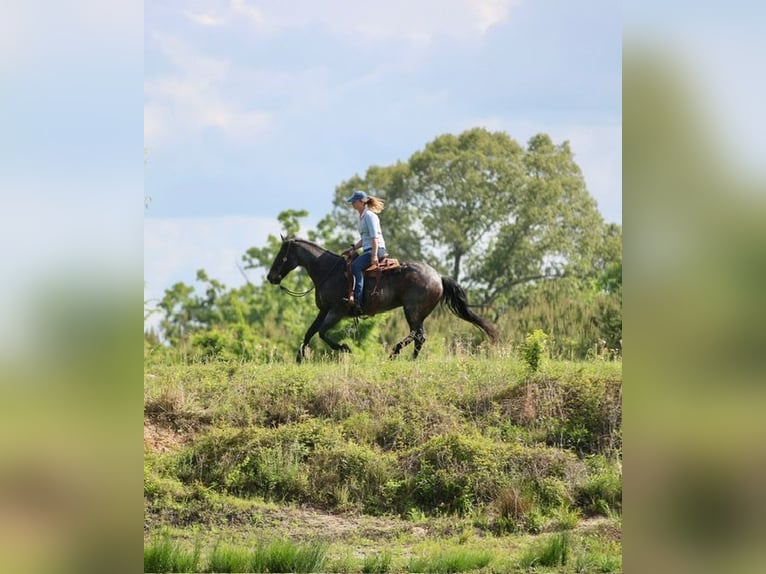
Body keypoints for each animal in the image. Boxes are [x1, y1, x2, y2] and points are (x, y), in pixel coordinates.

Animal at [266, 236, 498, 362]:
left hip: (412, 310)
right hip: (416, 313)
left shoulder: (336, 312)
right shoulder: (323, 311)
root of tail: (438, 276)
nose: (271, 277)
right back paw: (408, 359)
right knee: (419, 336)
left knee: (418, 335)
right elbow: (309, 333)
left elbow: (322, 333)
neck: (328, 271)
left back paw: (395, 354)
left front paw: (346, 348)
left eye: (281, 256)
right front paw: (299, 359)